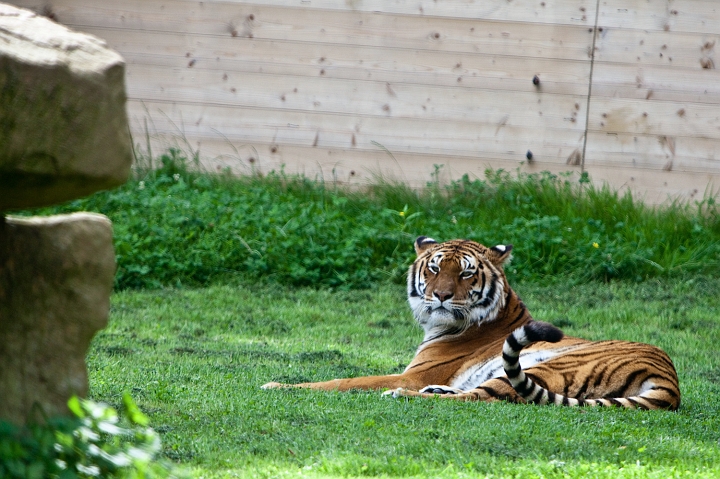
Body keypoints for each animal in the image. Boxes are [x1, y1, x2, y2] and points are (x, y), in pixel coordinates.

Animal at [262, 236, 681, 410]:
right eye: (434, 268)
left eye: (465, 273)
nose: (441, 296)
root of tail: (670, 381)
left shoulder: (411, 373)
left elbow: (343, 381)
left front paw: (278, 385)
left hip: (550, 367)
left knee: (488, 397)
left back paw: (406, 396)